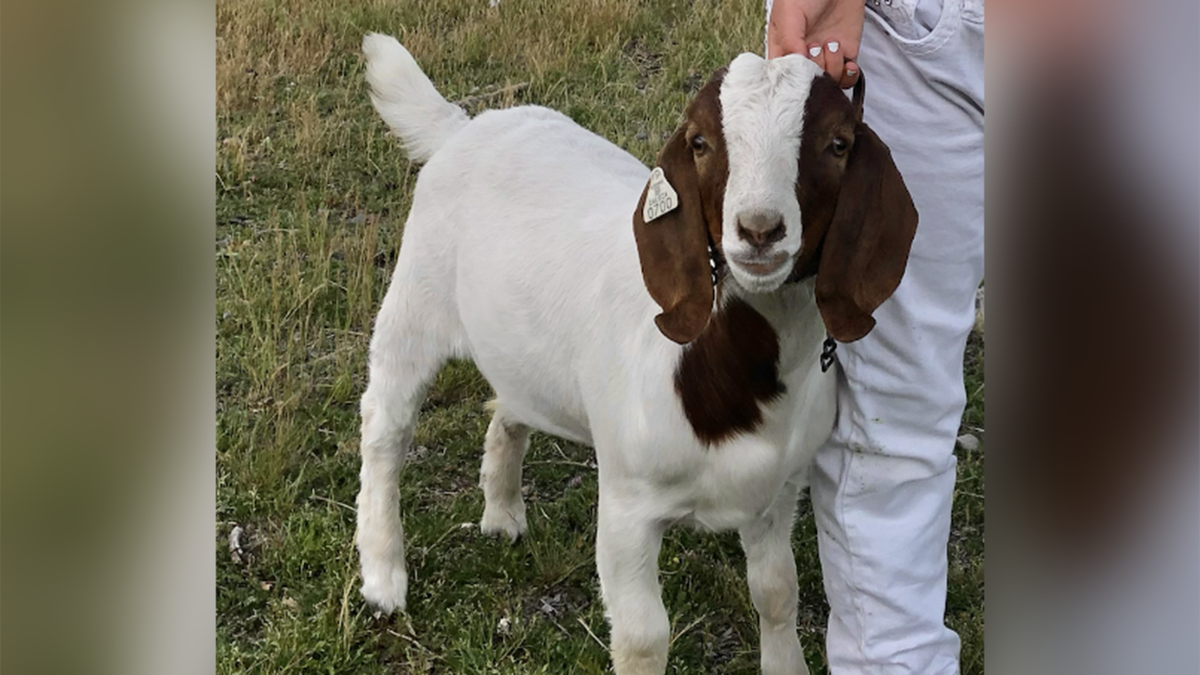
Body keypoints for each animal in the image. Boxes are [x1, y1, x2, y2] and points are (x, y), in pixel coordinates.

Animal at [356, 33, 917, 675]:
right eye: (699, 142)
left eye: (838, 143)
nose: (758, 231)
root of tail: (461, 127)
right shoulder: (628, 507)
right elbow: (643, 637)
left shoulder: (778, 493)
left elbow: (778, 593)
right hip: (415, 302)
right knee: (385, 428)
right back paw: (383, 576)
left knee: (508, 406)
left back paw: (502, 515)